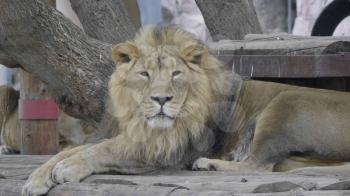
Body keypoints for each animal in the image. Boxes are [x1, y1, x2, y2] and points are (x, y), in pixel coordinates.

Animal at [23, 26, 350, 196]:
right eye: (144, 74)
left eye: (176, 74)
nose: (161, 99)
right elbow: (70, 150)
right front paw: (37, 178)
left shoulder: (165, 148)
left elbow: (101, 151)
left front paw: (67, 170)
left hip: (283, 102)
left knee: (257, 165)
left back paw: (208, 164)